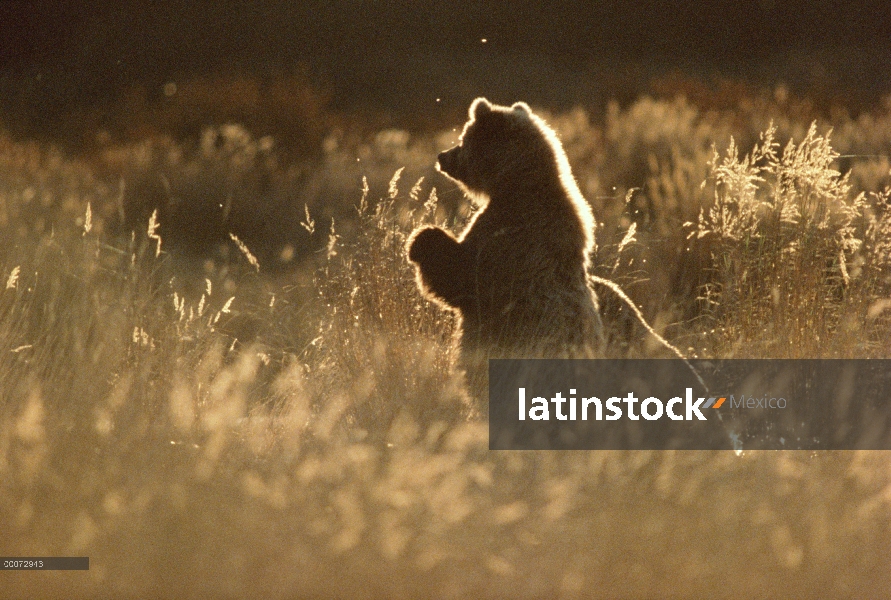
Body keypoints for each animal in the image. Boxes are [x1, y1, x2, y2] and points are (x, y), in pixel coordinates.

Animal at [406, 97, 604, 398]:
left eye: (463, 139)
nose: (442, 156)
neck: (516, 185)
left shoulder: (508, 239)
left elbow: (462, 278)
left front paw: (421, 239)